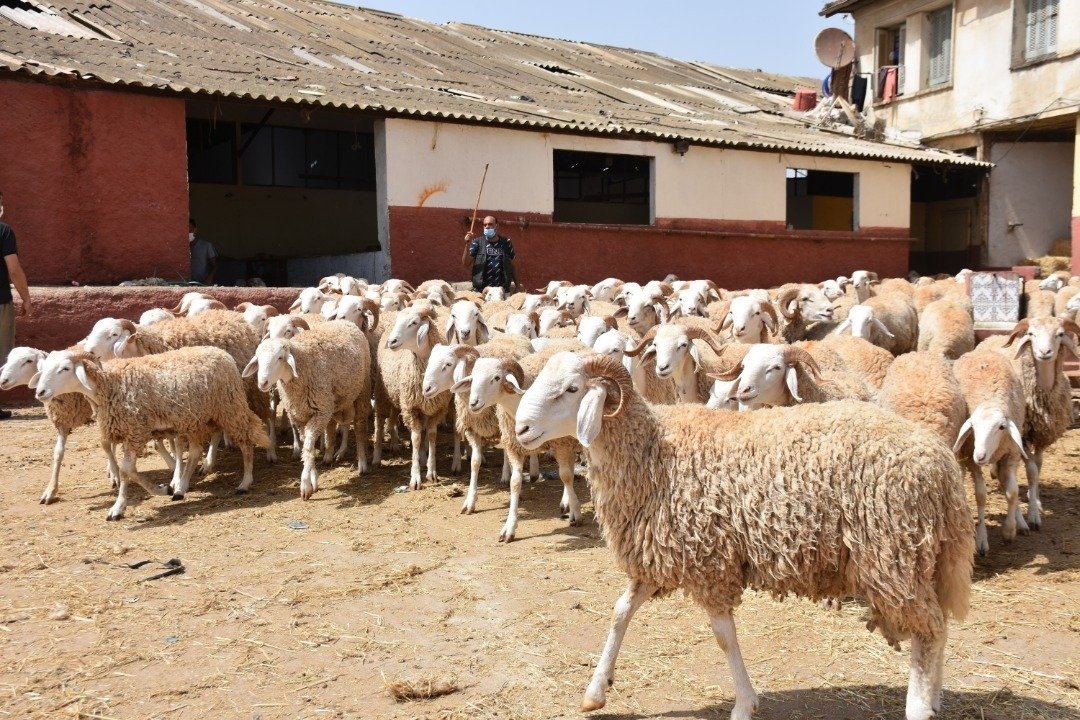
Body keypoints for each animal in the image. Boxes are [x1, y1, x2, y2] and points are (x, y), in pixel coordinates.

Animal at [32, 347, 268, 520]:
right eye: (44, 368)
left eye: (65, 368)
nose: (40, 392)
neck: (109, 385)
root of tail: (221, 353)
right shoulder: (128, 431)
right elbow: (128, 469)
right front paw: (163, 490)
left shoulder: (135, 430)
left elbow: (126, 470)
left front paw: (122, 505)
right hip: (195, 419)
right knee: (194, 452)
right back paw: (181, 488)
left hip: (229, 407)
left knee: (246, 440)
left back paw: (245, 483)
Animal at [509, 354, 976, 720]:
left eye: (571, 389)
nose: (521, 430)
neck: (653, 451)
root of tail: (941, 466)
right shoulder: (660, 555)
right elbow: (620, 612)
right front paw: (596, 691)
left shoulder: (708, 560)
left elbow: (722, 636)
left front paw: (744, 704)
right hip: (919, 556)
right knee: (939, 625)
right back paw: (934, 697)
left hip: (891, 555)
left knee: (927, 629)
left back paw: (919, 707)